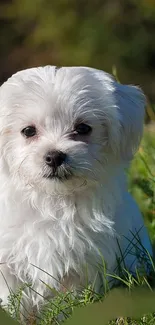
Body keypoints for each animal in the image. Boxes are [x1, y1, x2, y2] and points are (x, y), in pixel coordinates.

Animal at [0, 66, 152, 312]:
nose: (54, 156)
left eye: (83, 128)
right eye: (28, 131)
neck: (55, 200)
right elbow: (12, 301)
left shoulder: (86, 263)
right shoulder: (8, 263)